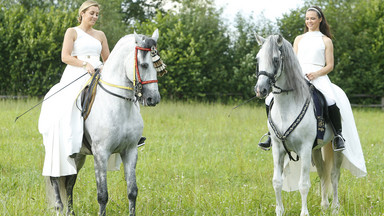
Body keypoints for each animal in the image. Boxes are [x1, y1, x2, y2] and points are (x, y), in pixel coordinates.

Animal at [47, 29, 160, 215]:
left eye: (157, 65)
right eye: (144, 65)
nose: (153, 99)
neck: (119, 105)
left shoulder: (130, 151)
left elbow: (132, 191)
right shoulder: (101, 153)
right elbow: (102, 195)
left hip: (77, 156)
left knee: (69, 183)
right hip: (58, 152)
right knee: (55, 180)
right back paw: (59, 208)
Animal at [255, 34, 342, 215]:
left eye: (275, 60)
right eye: (258, 59)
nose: (260, 90)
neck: (287, 107)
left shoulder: (305, 149)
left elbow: (303, 184)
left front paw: (304, 212)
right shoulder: (278, 149)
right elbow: (277, 182)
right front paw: (279, 211)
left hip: (334, 149)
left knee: (334, 175)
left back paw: (335, 208)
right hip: (316, 150)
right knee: (323, 173)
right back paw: (324, 206)